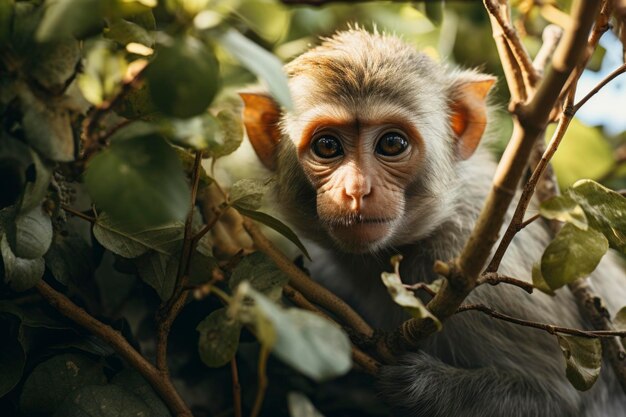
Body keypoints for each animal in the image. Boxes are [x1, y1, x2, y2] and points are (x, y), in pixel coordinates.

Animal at [238, 29, 624, 416]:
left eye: (392, 143)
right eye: (328, 146)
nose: (357, 189)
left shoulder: (482, 277)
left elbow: (562, 397)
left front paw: (416, 386)